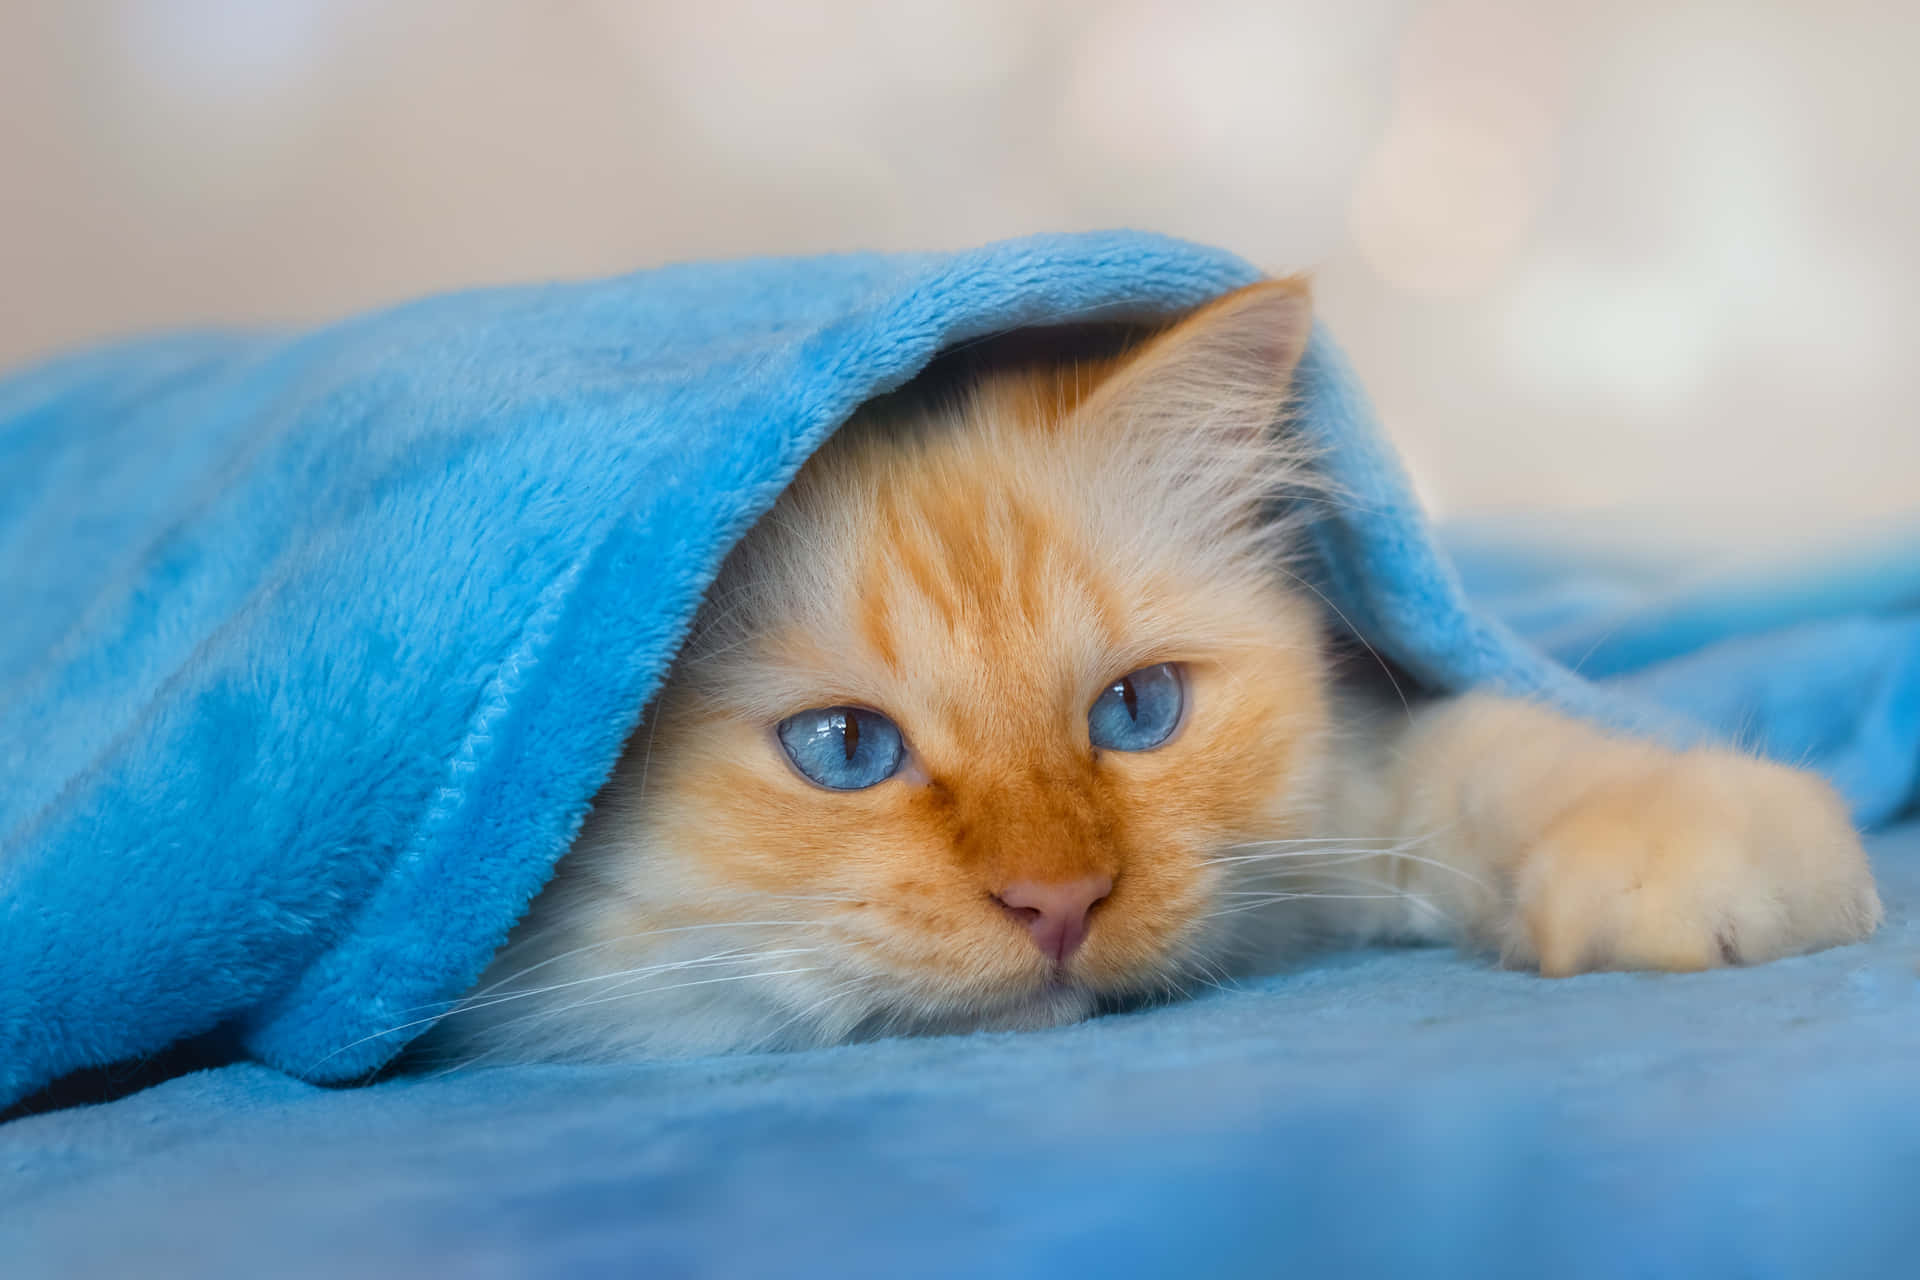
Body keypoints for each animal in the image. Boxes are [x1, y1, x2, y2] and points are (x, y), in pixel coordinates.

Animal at [416, 282, 1873, 1074]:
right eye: (843, 750)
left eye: (1135, 714)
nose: (1061, 905)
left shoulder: (1345, 788)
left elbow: (1495, 753)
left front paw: (1708, 872)